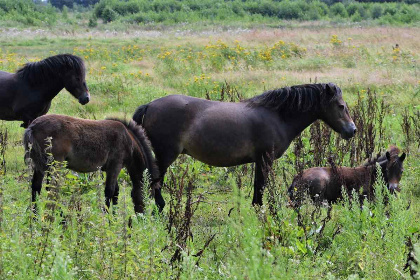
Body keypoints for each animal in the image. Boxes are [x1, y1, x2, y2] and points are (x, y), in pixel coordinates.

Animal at [23, 113, 161, 212]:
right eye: (150, 194)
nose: (141, 215)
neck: (128, 139)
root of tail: (33, 126)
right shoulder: (115, 166)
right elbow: (109, 191)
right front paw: (107, 218)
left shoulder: (110, 168)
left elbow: (115, 193)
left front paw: (114, 217)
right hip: (56, 164)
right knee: (52, 189)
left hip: (39, 165)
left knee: (36, 187)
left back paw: (35, 216)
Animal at [135, 81, 358, 210]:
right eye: (341, 106)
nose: (352, 130)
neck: (277, 116)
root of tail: (150, 105)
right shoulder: (264, 159)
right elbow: (260, 188)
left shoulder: (260, 161)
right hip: (165, 156)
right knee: (155, 184)